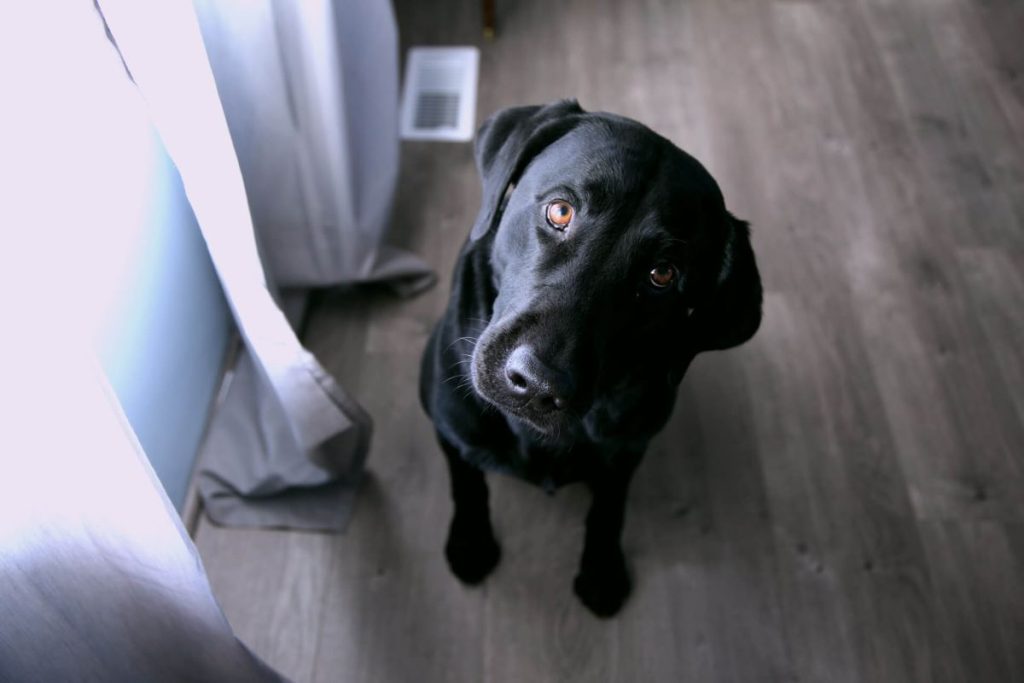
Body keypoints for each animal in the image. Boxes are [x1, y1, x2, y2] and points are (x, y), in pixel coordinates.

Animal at [415, 101, 761, 618]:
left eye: (662, 274)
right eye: (561, 210)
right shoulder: (450, 424)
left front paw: (602, 570)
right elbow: (467, 479)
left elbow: (609, 507)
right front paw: (472, 542)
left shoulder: (629, 449)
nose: (537, 384)